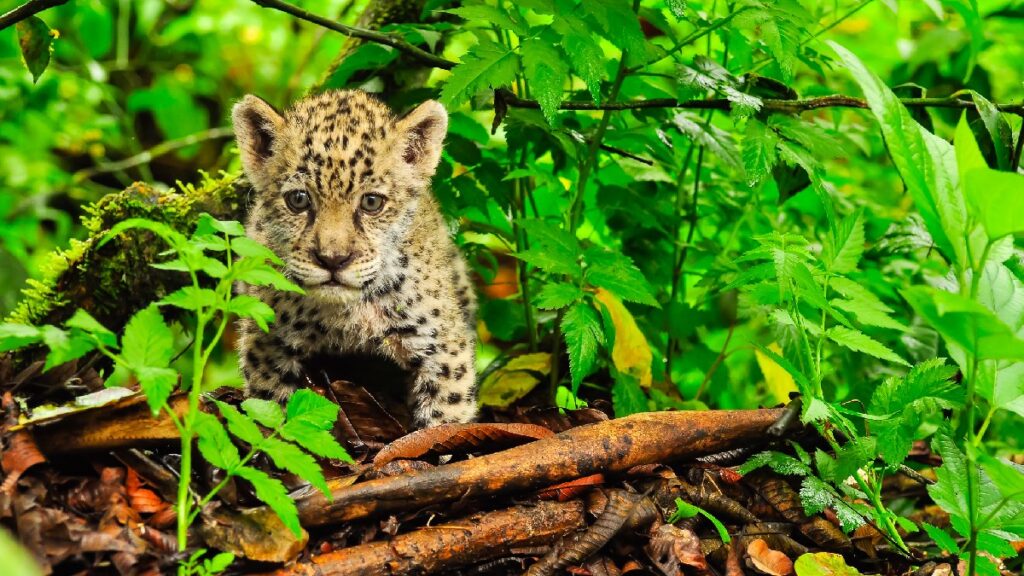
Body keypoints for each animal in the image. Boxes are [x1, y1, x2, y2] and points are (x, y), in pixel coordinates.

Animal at [231, 89, 477, 428]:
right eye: (298, 200)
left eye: (372, 202)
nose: (333, 260)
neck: (348, 317)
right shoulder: (268, 345)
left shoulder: (441, 349)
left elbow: (446, 418)